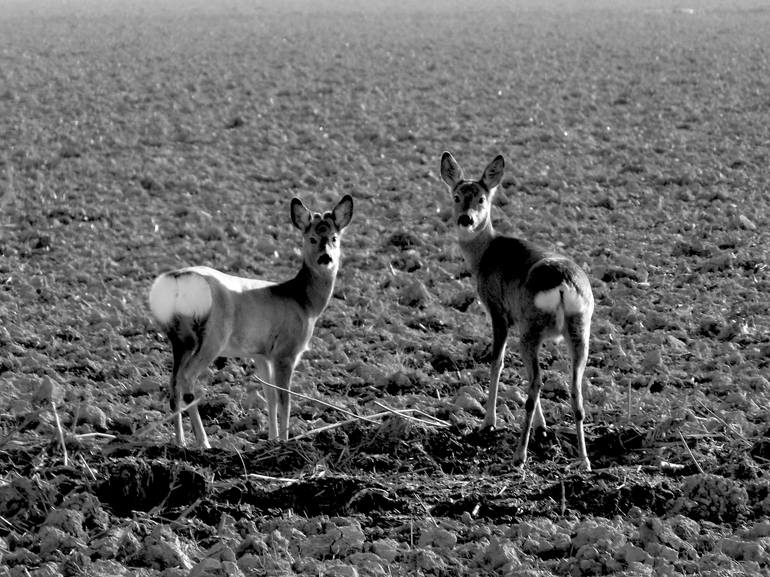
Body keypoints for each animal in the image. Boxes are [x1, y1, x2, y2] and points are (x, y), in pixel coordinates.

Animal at [148, 194, 354, 446]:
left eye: (334, 238)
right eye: (312, 238)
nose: (326, 258)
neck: (303, 301)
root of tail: (177, 281)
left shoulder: (261, 353)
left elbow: (270, 396)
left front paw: (272, 439)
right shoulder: (285, 352)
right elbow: (284, 399)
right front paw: (285, 440)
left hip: (178, 338)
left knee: (173, 383)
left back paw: (180, 442)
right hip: (212, 337)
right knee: (187, 379)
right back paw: (204, 442)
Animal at [438, 152, 592, 468]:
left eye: (482, 198)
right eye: (457, 196)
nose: (466, 219)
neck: (484, 257)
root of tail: (564, 285)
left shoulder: (499, 312)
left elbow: (496, 363)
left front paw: (488, 422)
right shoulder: (518, 320)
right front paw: (543, 427)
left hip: (532, 328)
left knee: (537, 383)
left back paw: (519, 455)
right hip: (578, 328)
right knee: (574, 390)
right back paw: (583, 460)